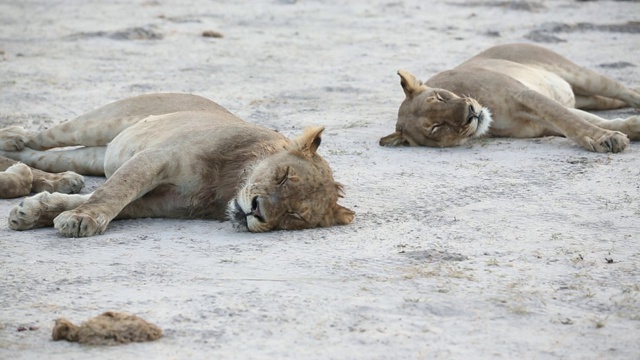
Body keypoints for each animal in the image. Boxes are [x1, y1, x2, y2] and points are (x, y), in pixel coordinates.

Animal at [0, 94, 352, 238]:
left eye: (293, 216)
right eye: (282, 176)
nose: (256, 211)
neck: (226, 187)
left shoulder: (163, 204)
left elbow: (108, 201)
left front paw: (33, 212)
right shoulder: (157, 157)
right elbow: (114, 192)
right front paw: (79, 220)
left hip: (93, 155)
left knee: (46, 156)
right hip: (98, 122)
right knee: (43, 136)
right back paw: (11, 137)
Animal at [380, 43, 640, 153]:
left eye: (440, 97)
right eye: (436, 127)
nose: (470, 113)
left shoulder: (525, 94)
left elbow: (571, 120)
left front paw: (609, 138)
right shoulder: (542, 125)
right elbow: (580, 122)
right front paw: (622, 132)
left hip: (583, 76)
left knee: (628, 91)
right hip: (591, 97)